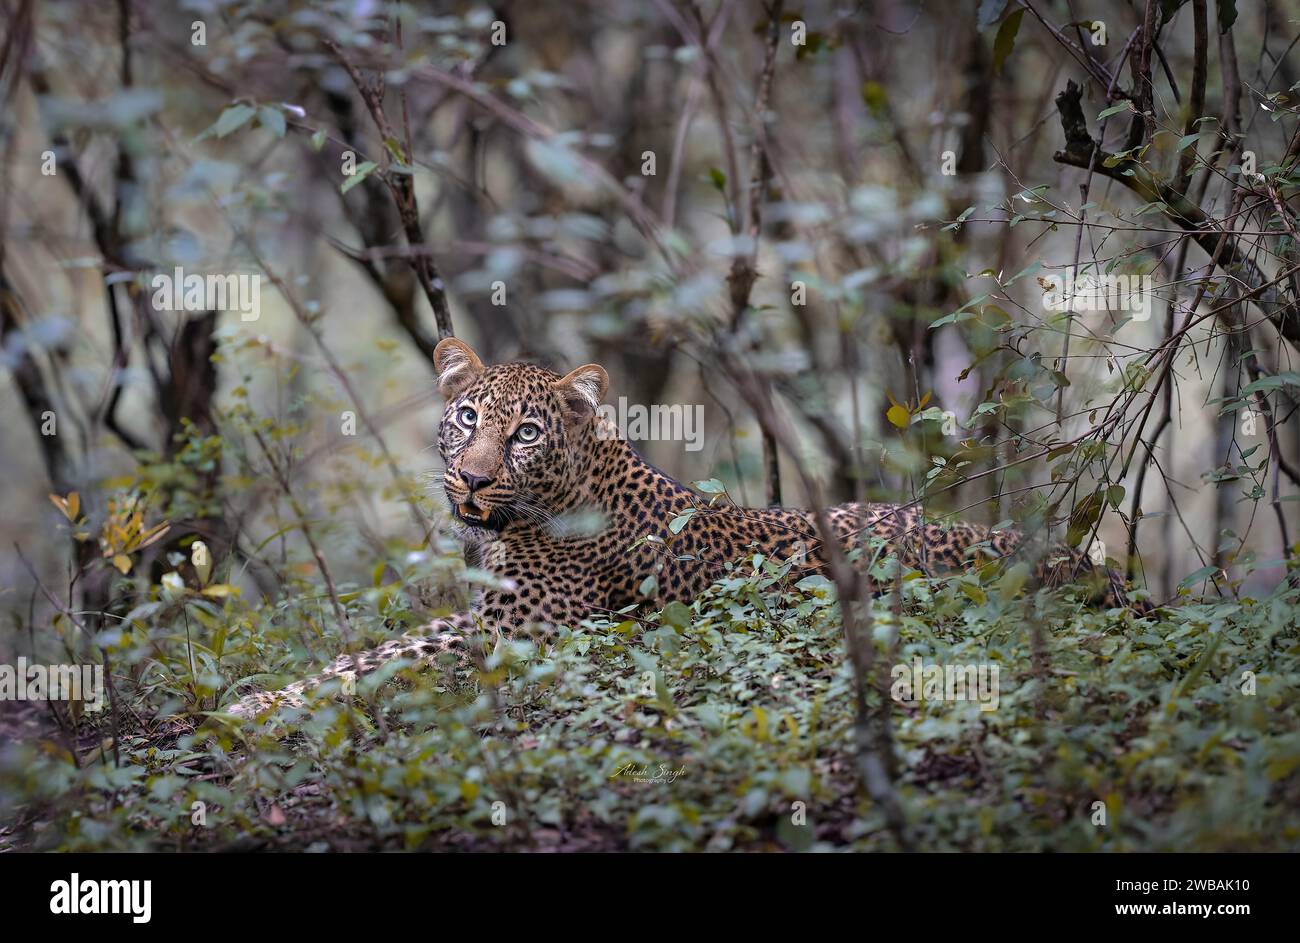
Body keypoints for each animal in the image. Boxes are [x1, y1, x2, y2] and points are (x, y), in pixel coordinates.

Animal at [225, 337, 1137, 718]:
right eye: (469, 416)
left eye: (526, 433)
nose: (473, 479)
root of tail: (1077, 557)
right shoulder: (480, 616)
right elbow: (373, 651)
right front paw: (264, 690)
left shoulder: (519, 639)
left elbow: (385, 666)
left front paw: (256, 707)